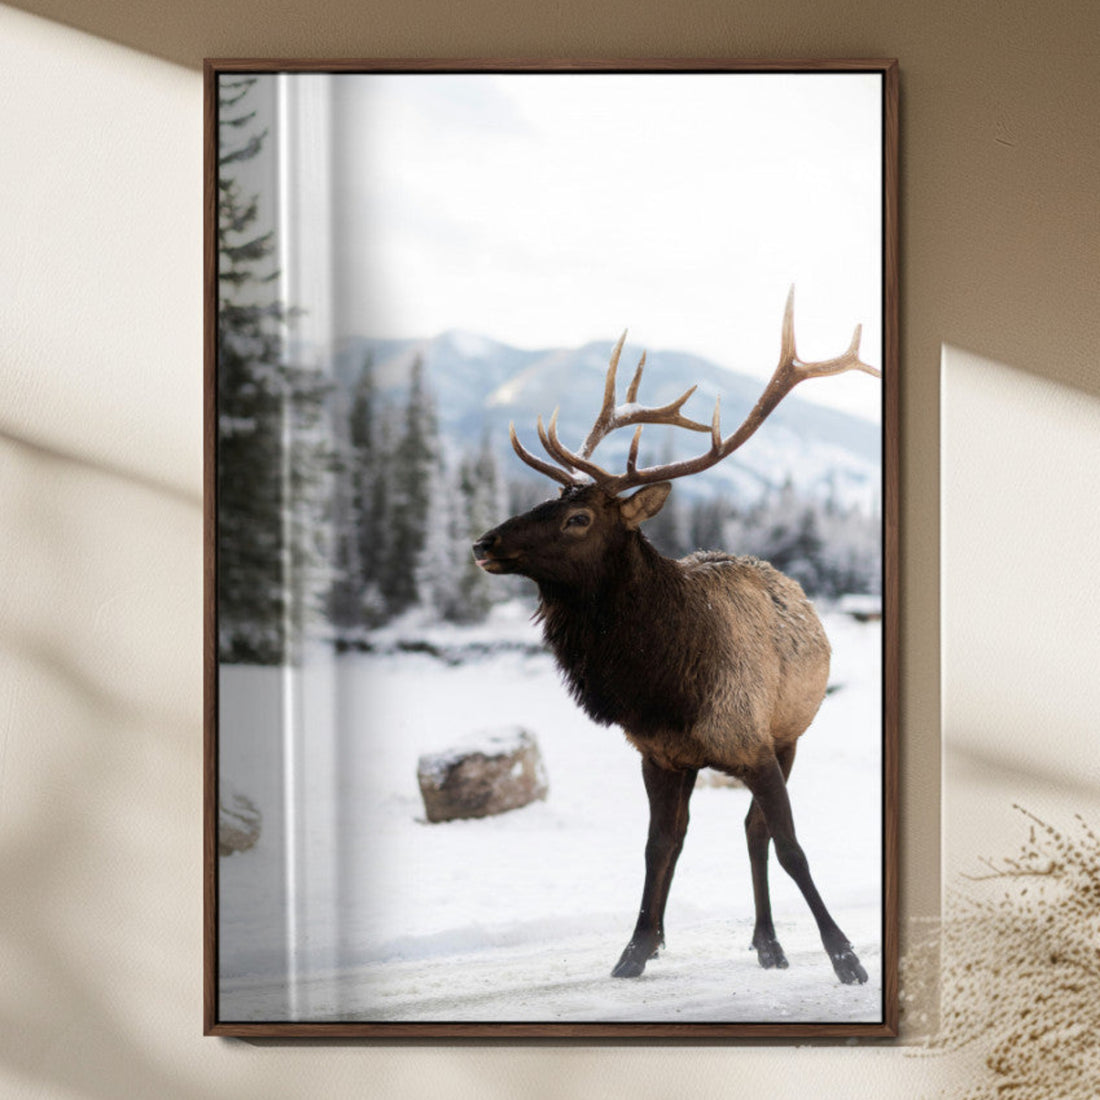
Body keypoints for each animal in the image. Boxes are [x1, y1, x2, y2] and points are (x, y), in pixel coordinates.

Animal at [472, 289, 880, 985]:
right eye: (548, 499)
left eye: (578, 517)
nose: (484, 542)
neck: (666, 685)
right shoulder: (658, 753)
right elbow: (658, 844)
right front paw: (635, 949)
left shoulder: (756, 742)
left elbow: (791, 845)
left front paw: (845, 955)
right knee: (703, 833)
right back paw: (737, 940)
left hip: (789, 734)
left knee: (754, 831)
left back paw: (770, 943)